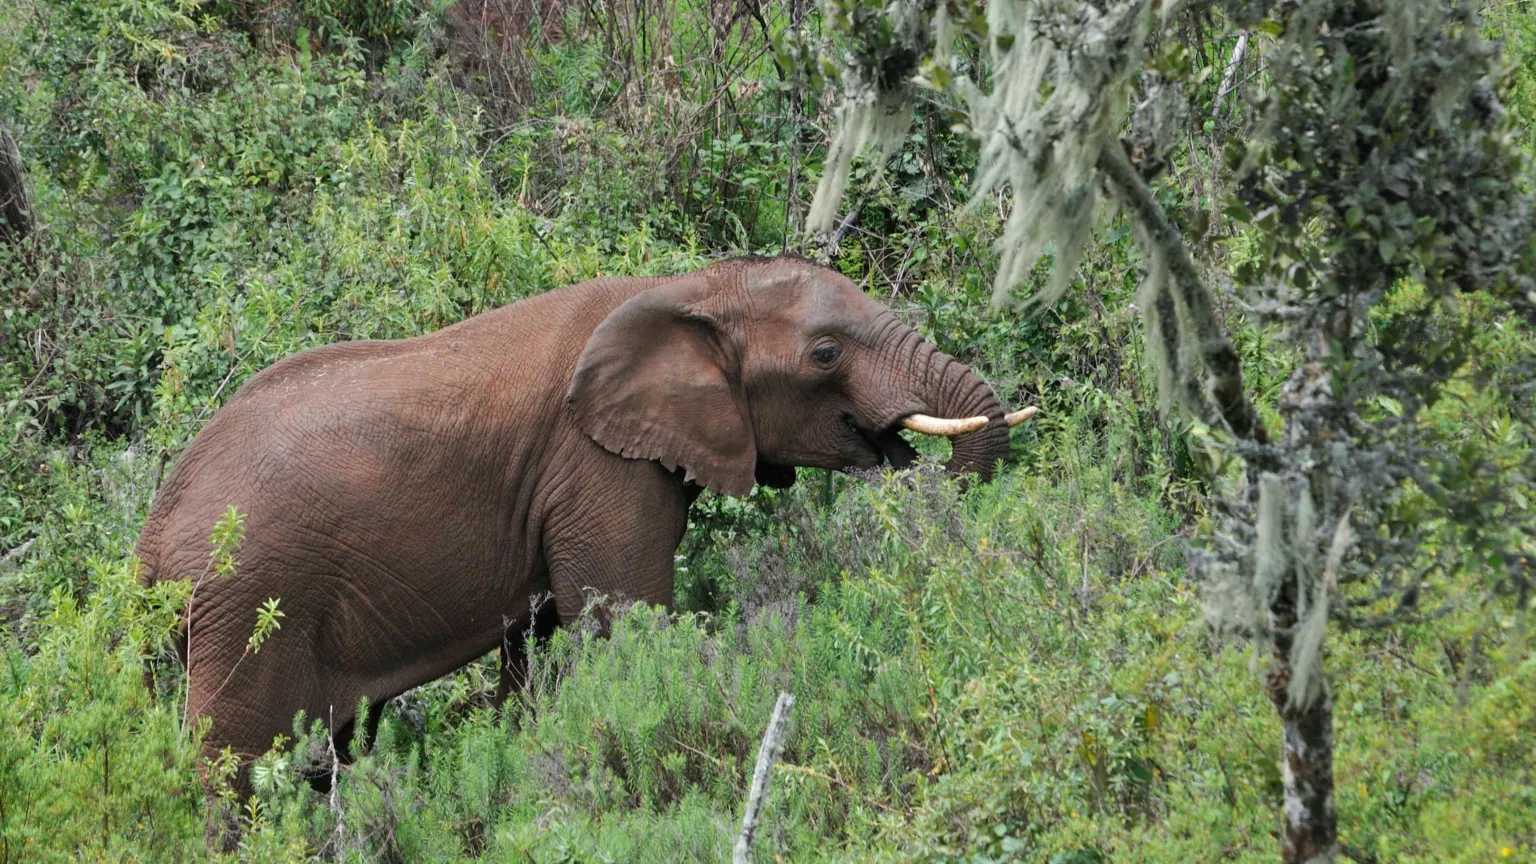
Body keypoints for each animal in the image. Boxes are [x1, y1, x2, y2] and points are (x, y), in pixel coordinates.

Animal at [134, 254, 1033, 786]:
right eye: (826, 355)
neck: (690, 287)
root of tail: (148, 545)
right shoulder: (600, 466)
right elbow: (622, 620)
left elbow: (538, 649)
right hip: (248, 600)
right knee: (230, 767)